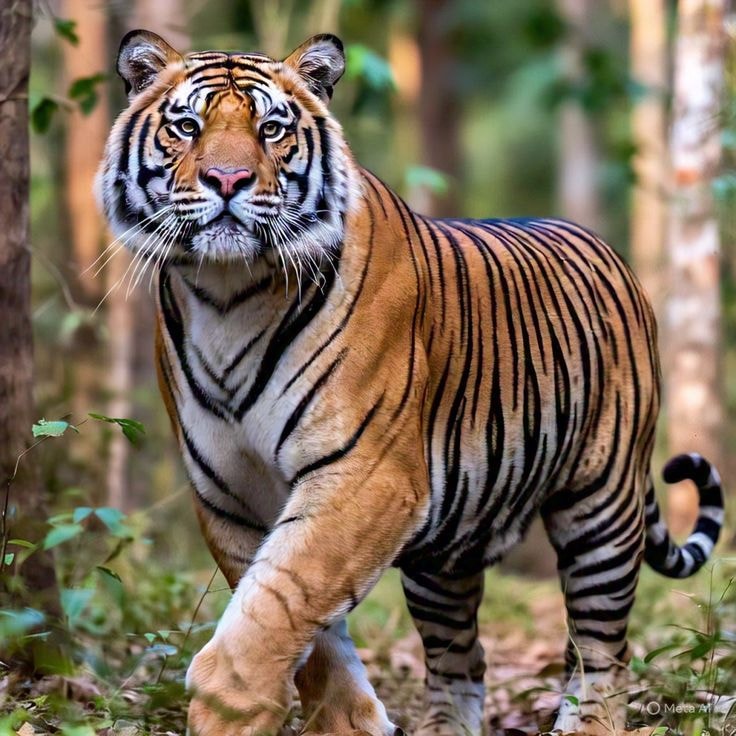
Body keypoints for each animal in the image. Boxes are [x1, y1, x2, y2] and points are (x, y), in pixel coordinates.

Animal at [96, 29, 725, 736]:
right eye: (187, 127)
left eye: (271, 129)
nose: (227, 179)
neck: (229, 292)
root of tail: (609, 252)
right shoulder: (231, 492)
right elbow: (303, 626)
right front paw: (348, 723)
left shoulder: (367, 475)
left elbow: (278, 606)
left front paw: (228, 707)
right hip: (446, 550)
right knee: (462, 661)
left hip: (601, 507)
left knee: (603, 654)